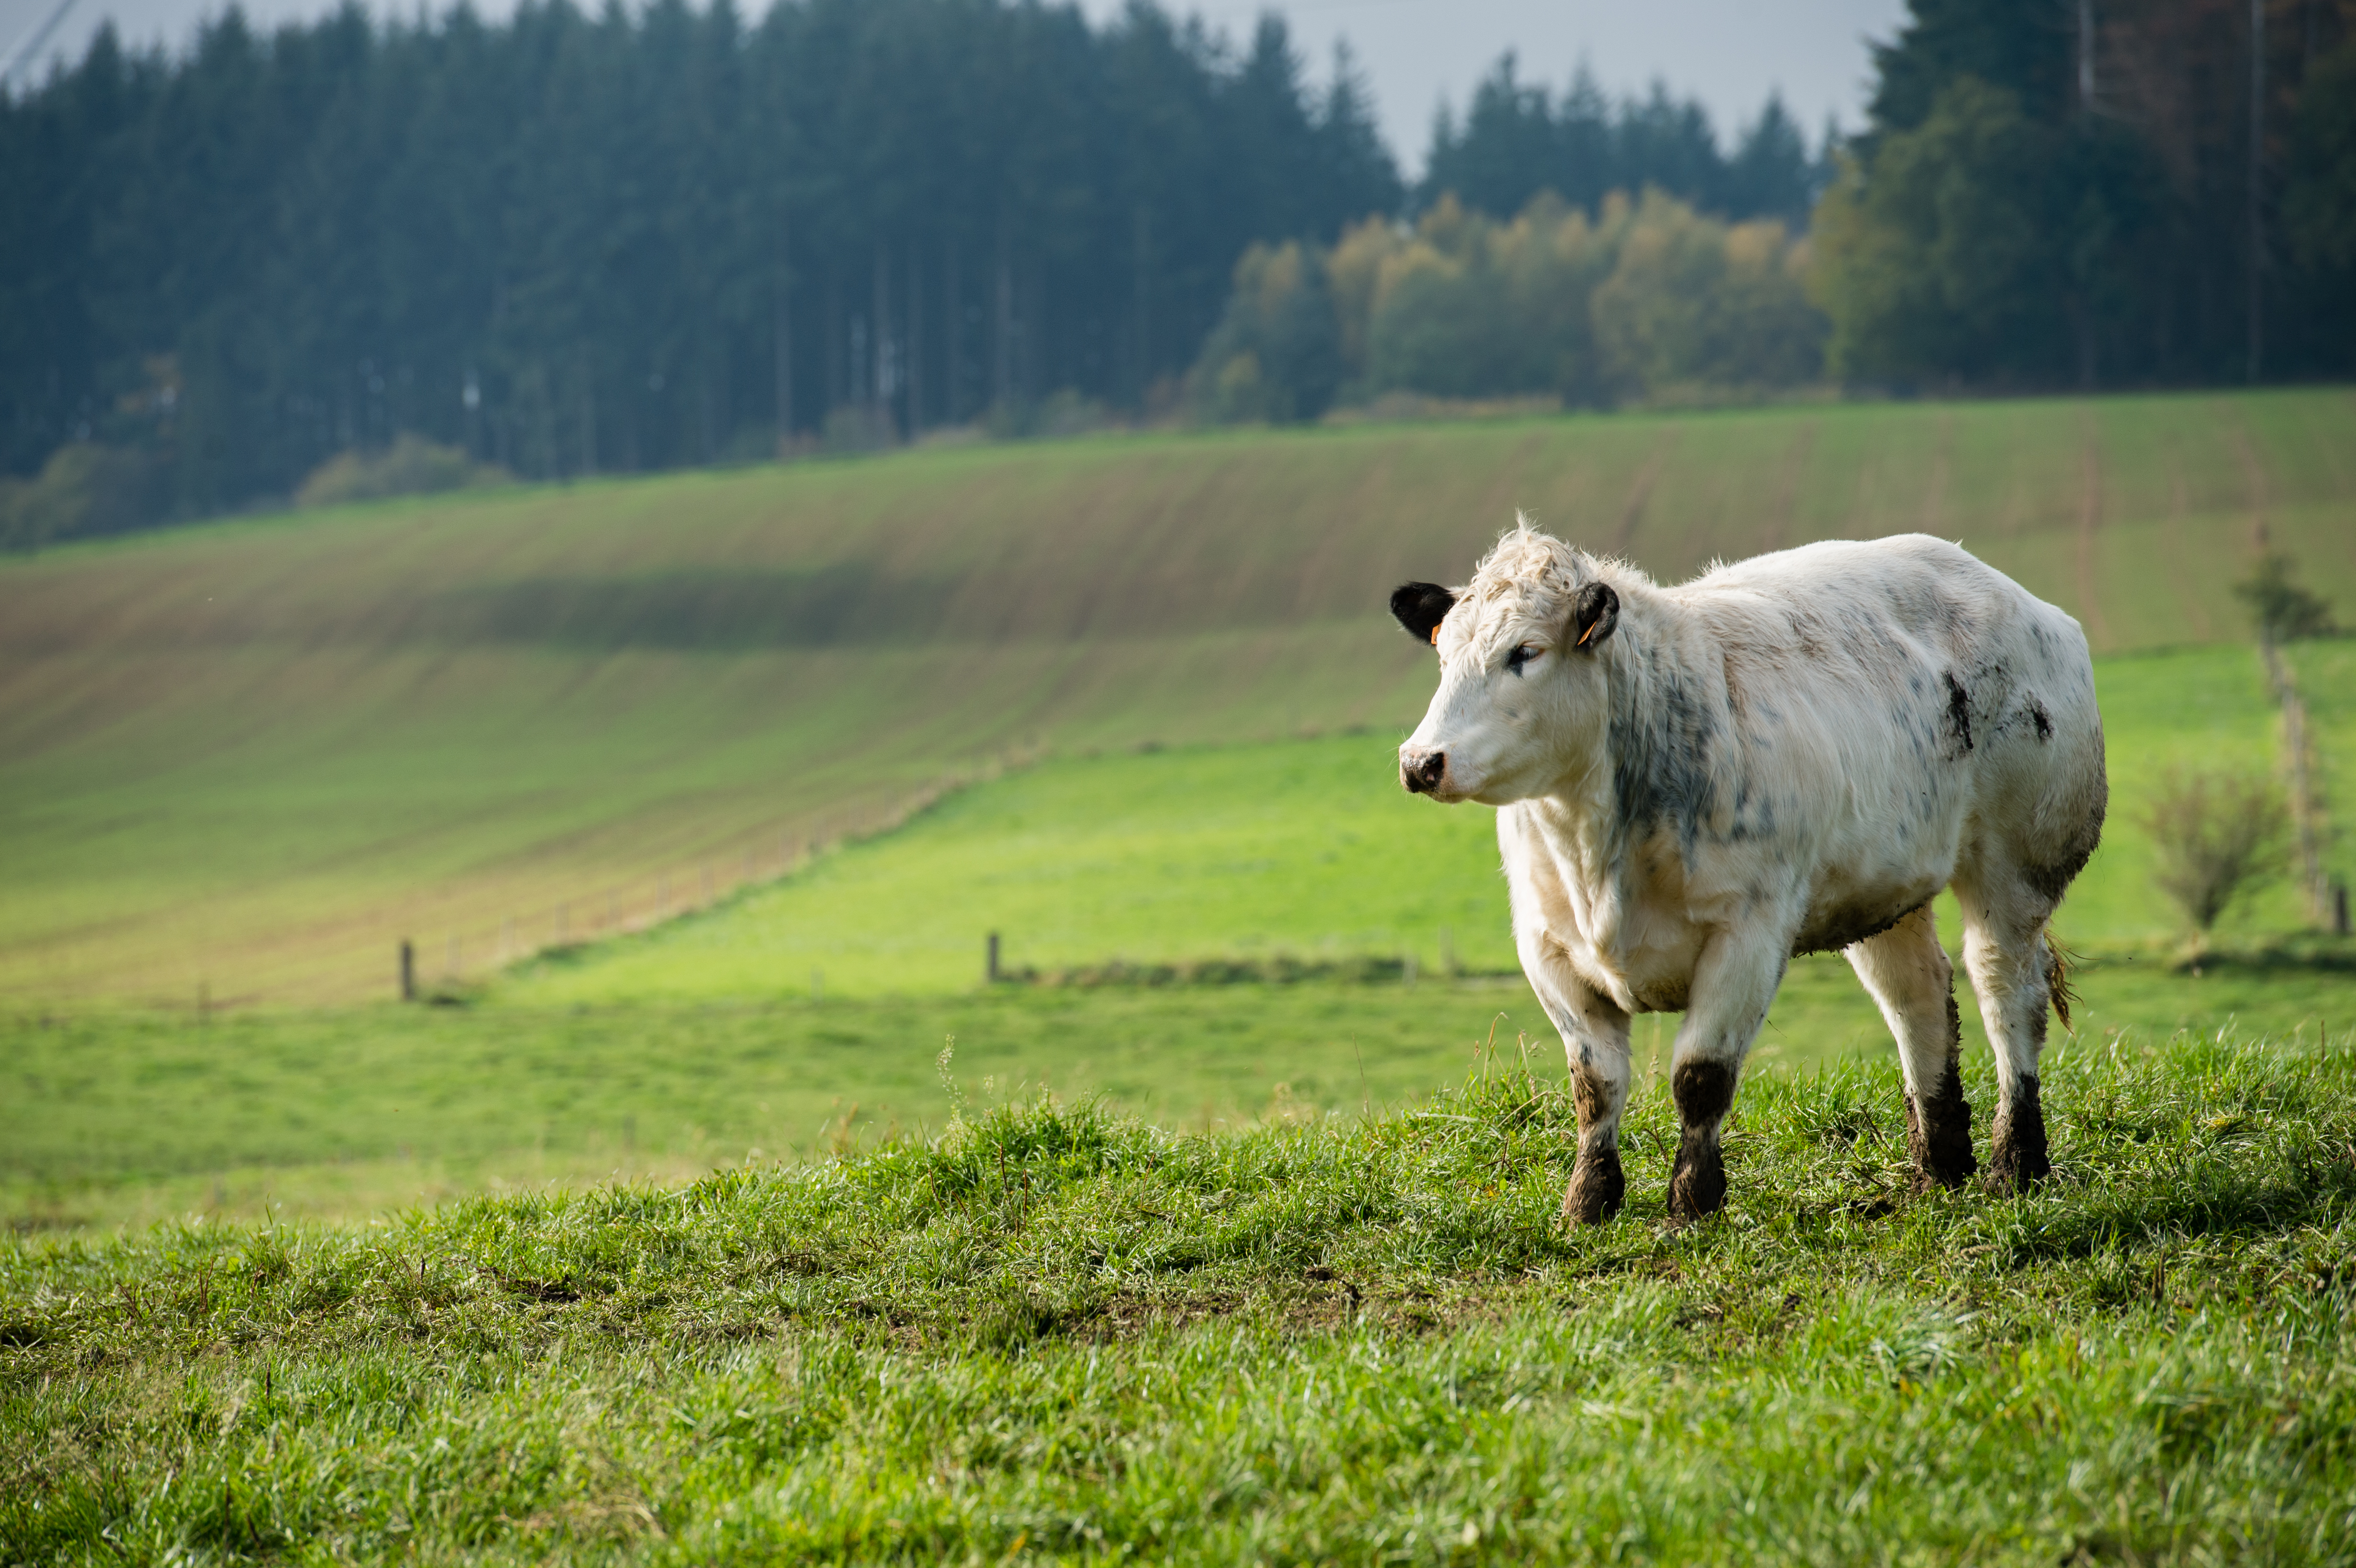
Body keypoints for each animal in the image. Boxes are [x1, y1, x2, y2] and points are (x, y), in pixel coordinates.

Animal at [1391, 522, 2106, 1222]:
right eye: (1444, 654)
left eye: (1526, 652)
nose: (1421, 761)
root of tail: (2025, 603)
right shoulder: (1547, 949)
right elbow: (1595, 1087)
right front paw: (1587, 1203)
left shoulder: (1749, 934)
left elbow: (1699, 1077)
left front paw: (1692, 1203)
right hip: (1884, 886)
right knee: (1916, 995)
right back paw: (1939, 1166)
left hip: (2014, 867)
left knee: (2006, 992)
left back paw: (2016, 1161)